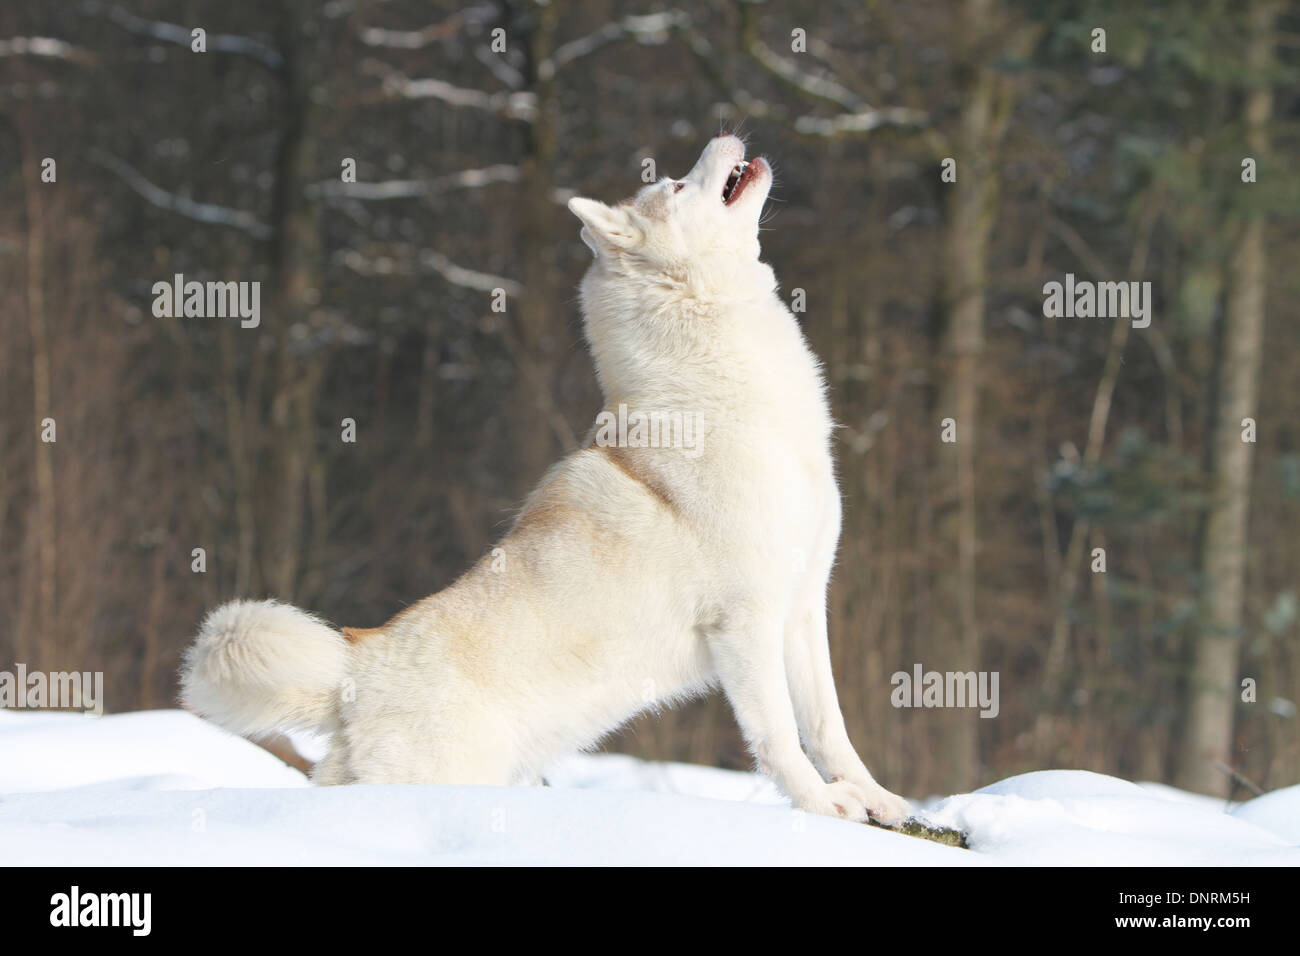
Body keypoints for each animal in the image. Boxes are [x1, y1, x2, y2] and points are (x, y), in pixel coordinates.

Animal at [180, 132, 915, 822]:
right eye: (677, 185)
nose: (726, 136)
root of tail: (353, 669)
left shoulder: (803, 606)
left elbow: (830, 728)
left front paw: (879, 801)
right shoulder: (747, 624)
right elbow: (780, 738)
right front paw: (822, 809)